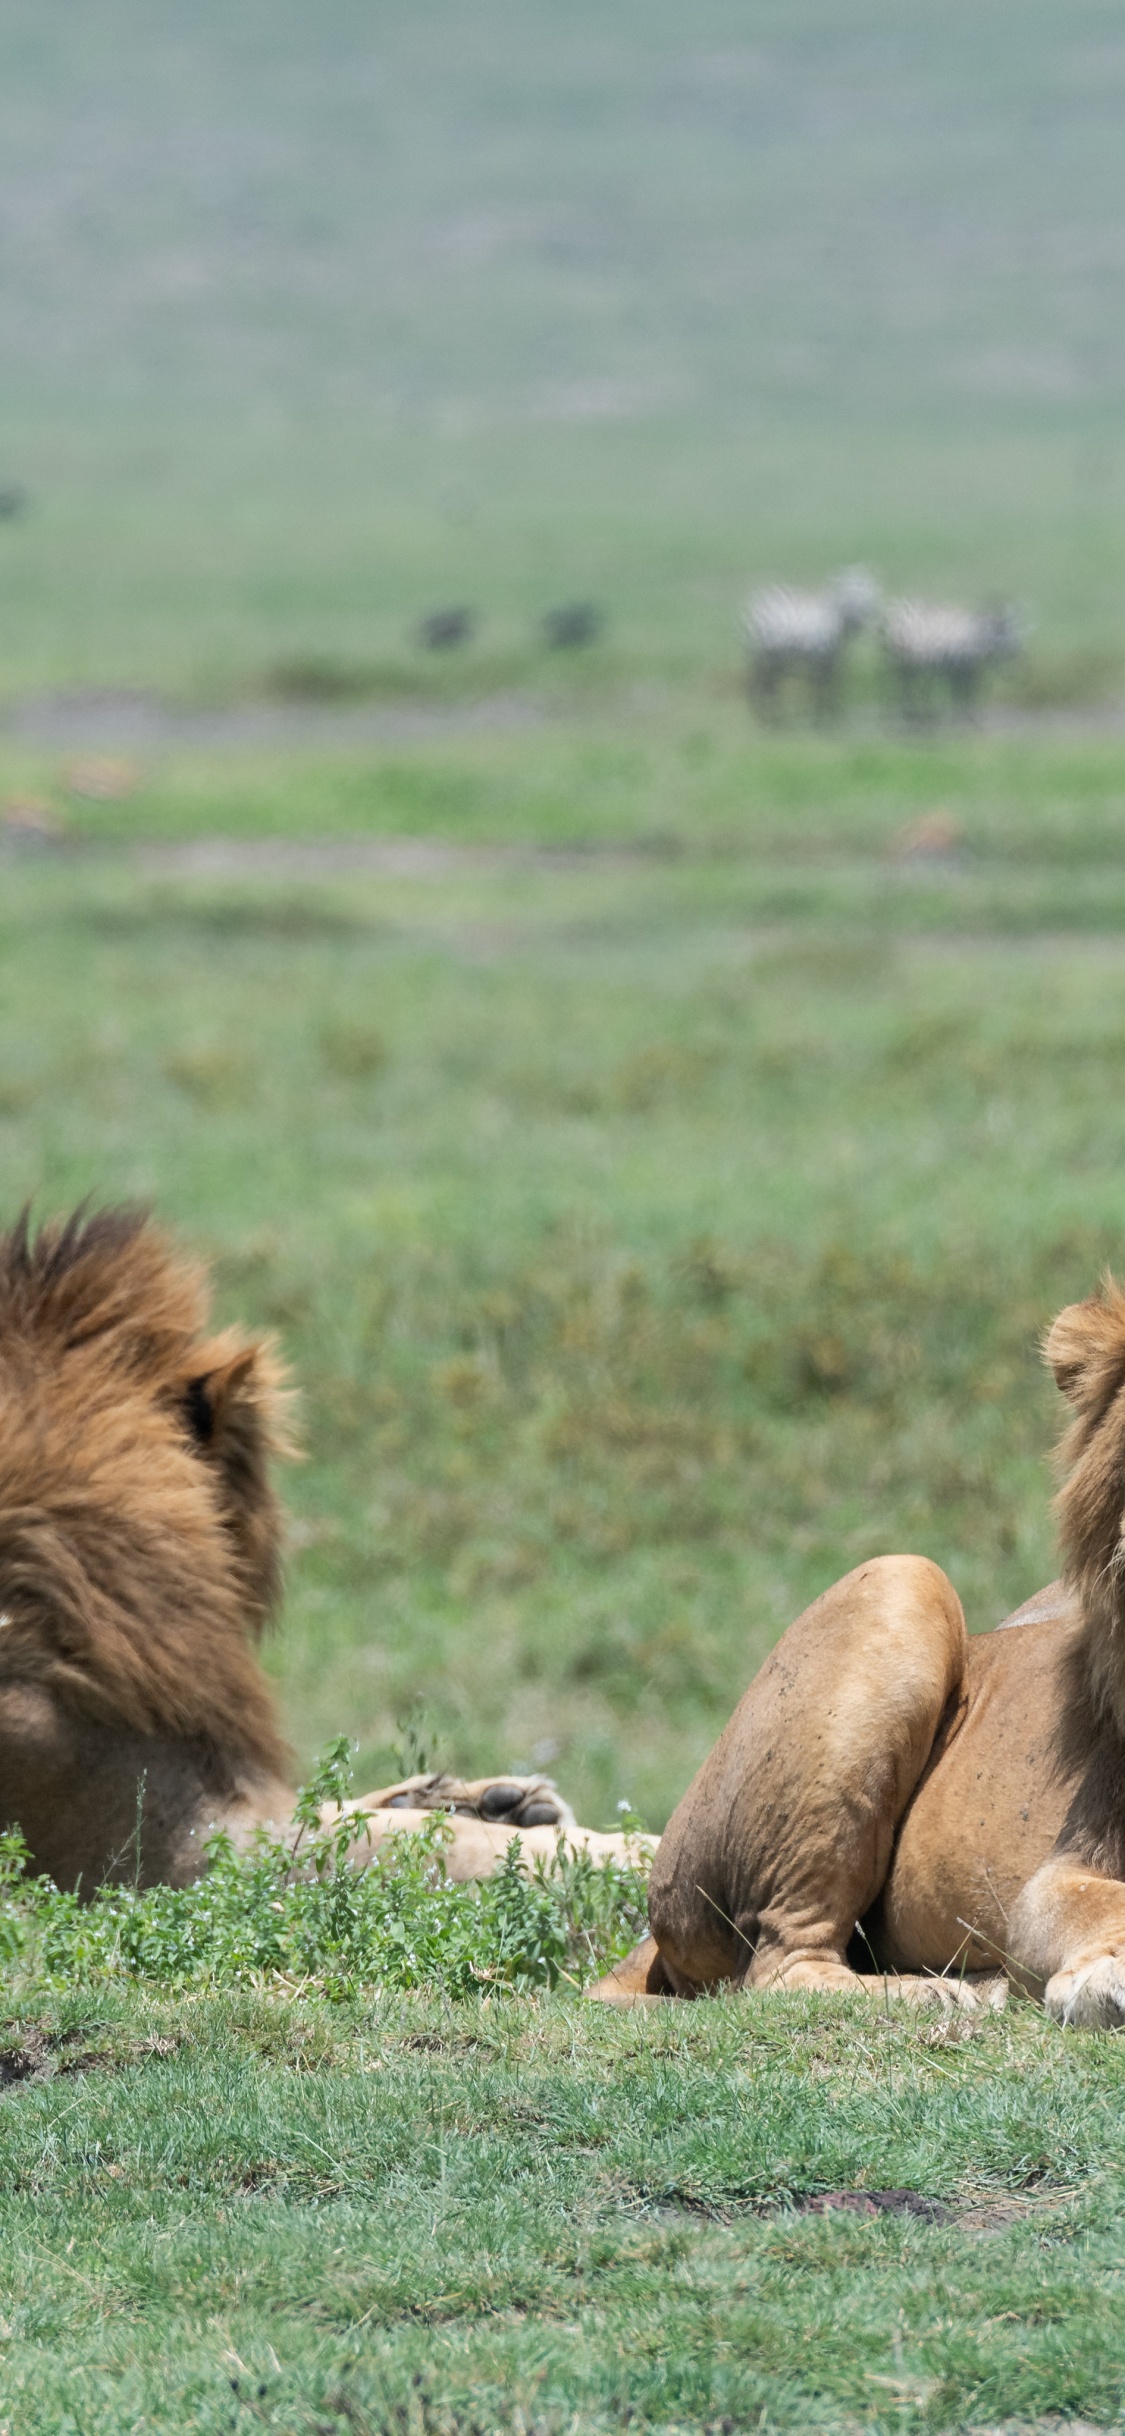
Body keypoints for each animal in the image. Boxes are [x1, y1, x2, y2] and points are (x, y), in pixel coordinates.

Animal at [591, 1278, 1125, 2029]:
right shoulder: (1054, 1877)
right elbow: (1102, 1901)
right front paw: (1102, 1978)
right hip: (901, 1582)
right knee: (777, 1966)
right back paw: (931, 1993)